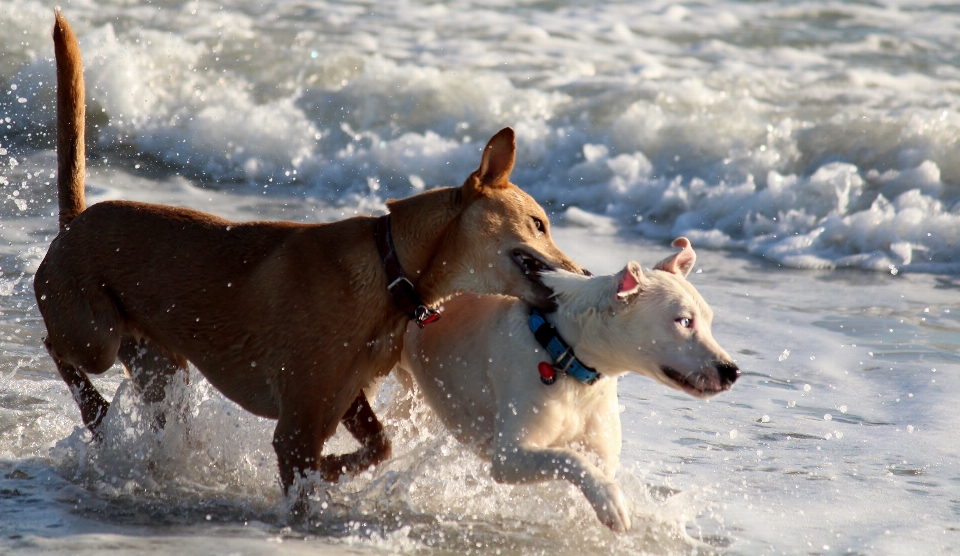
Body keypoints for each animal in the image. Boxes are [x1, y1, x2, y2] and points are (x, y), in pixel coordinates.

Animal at [37, 14, 584, 496]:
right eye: (539, 224)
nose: (584, 269)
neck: (391, 272)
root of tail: (74, 220)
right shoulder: (297, 423)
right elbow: (304, 476)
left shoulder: (344, 398)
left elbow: (379, 447)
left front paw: (334, 468)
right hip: (96, 334)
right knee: (55, 347)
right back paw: (95, 410)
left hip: (160, 364)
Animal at [396, 238, 736, 528]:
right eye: (684, 321)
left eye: (708, 320)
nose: (732, 371)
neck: (565, 355)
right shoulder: (510, 457)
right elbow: (568, 458)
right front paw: (608, 500)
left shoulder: (600, 449)